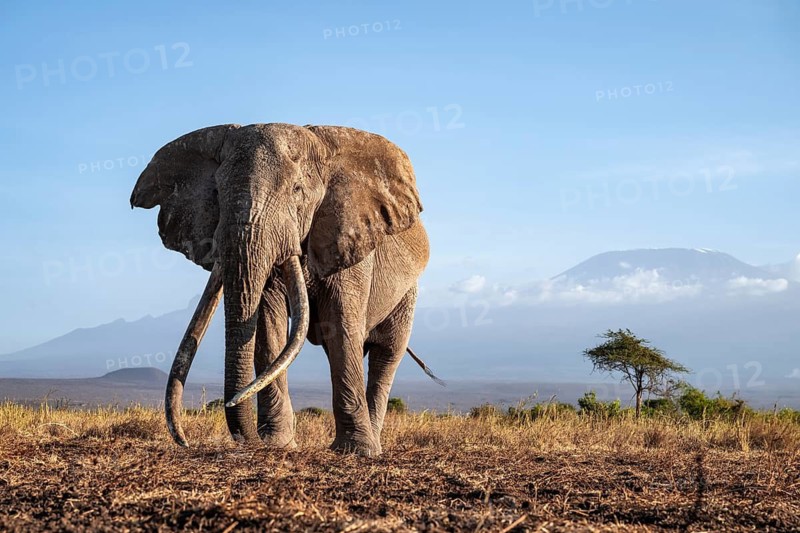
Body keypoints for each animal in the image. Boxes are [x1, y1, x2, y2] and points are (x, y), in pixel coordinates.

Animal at [130, 123, 439, 456]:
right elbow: (268, 322)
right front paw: (277, 443)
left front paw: (356, 451)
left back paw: (374, 445)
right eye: (216, 194)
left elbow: (341, 326)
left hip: (407, 293)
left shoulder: (351, 239)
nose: (184, 440)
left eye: (297, 191)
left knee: (387, 353)